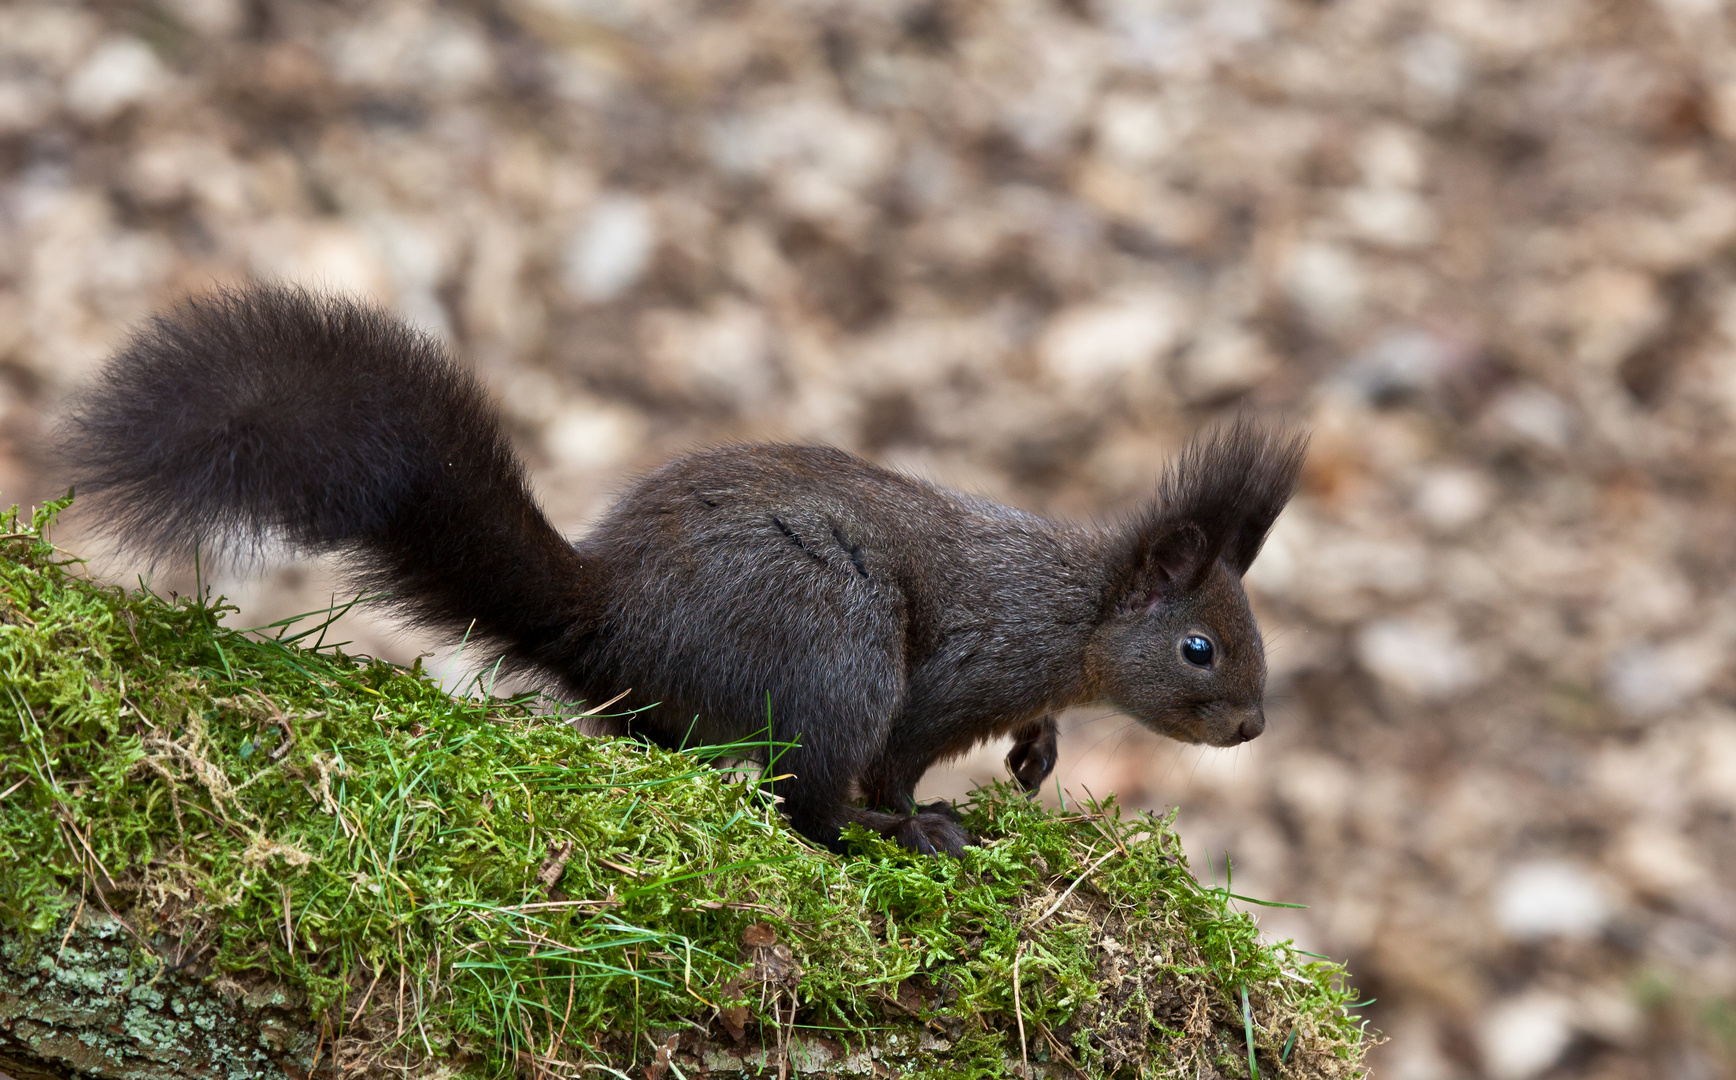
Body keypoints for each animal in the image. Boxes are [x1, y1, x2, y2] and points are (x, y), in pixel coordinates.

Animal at [64, 289, 1305, 864]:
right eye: (1199, 648)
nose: (1250, 728)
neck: (1074, 613)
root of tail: (615, 622)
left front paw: (1037, 755)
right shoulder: (965, 665)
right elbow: (904, 755)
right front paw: (925, 814)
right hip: (833, 645)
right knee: (806, 798)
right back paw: (884, 835)